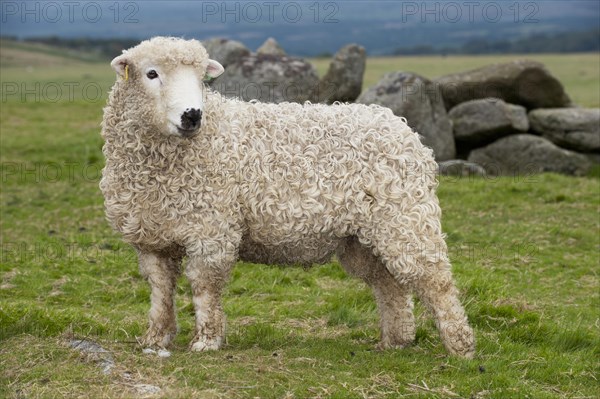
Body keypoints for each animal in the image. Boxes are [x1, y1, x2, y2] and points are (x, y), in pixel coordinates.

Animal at [101, 36, 476, 358]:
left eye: (200, 78)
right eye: (152, 73)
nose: (192, 115)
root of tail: (402, 128)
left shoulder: (211, 231)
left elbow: (204, 288)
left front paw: (206, 341)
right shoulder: (151, 237)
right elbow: (160, 290)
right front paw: (155, 337)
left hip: (406, 219)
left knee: (436, 281)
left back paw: (461, 347)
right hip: (364, 237)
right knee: (390, 285)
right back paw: (395, 341)